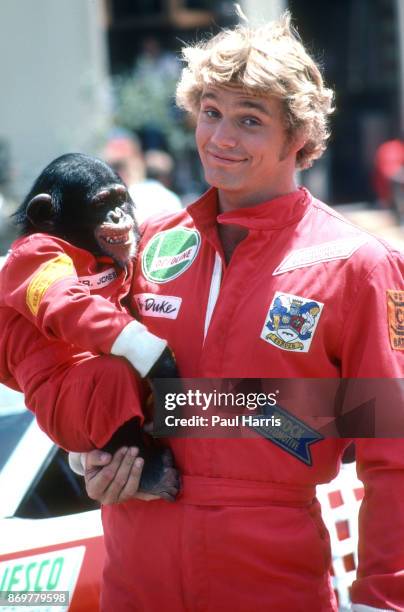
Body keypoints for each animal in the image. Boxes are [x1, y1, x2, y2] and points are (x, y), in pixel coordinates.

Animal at [0, 153, 178, 502]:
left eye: (119, 198)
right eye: (100, 203)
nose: (117, 214)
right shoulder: (37, 251)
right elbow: (63, 301)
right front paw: (161, 361)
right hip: (58, 415)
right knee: (107, 378)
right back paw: (152, 474)